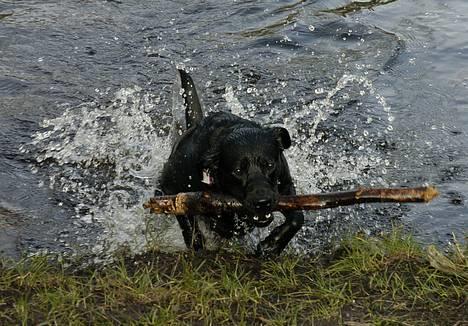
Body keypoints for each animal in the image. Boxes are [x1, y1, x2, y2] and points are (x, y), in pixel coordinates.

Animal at [160, 69, 304, 258]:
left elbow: (298, 217)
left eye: (269, 165)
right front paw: (197, 245)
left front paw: (273, 245)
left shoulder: (284, 183)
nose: (262, 202)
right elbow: (187, 222)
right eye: (238, 171)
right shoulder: (170, 186)